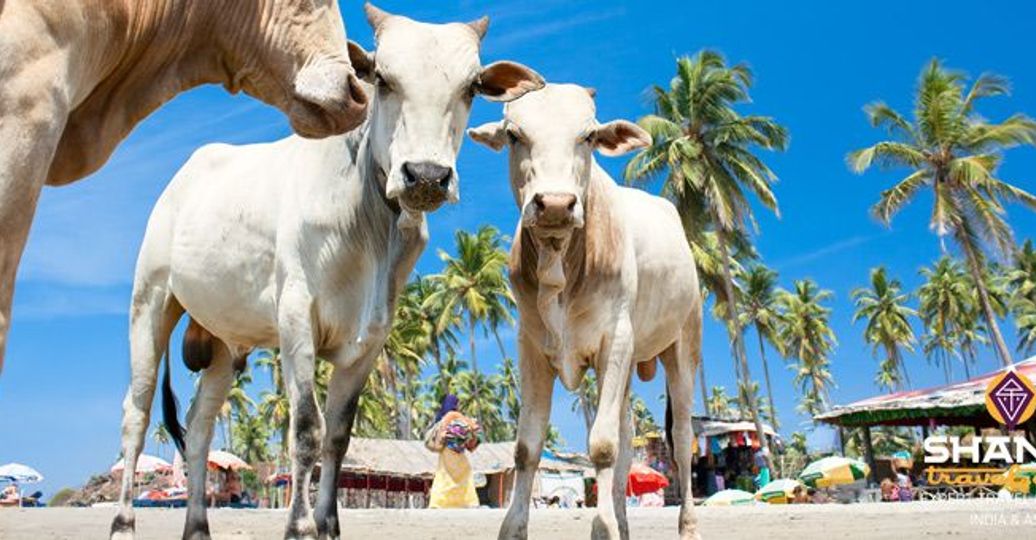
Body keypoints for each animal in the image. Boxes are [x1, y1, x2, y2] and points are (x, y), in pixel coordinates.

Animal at [110, 5, 543, 540]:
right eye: (382, 80)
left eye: (471, 88)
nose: (425, 176)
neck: (369, 221)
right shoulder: (297, 318)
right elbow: (306, 431)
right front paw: (299, 526)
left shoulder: (371, 339)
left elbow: (338, 434)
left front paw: (328, 523)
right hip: (150, 300)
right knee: (136, 414)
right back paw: (123, 521)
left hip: (224, 343)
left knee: (199, 427)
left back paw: (197, 526)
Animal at [468, 84, 703, 540]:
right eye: (514, 135)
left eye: (589, 136)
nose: (556, 204)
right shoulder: (531, 347)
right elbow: (526, 448)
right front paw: (514, 528)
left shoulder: (615, 341)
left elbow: (603, 446)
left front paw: (603, 527)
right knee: (629, 437)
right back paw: (625, 522)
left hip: (683, 346)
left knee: (682, 441)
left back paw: (687, 525)